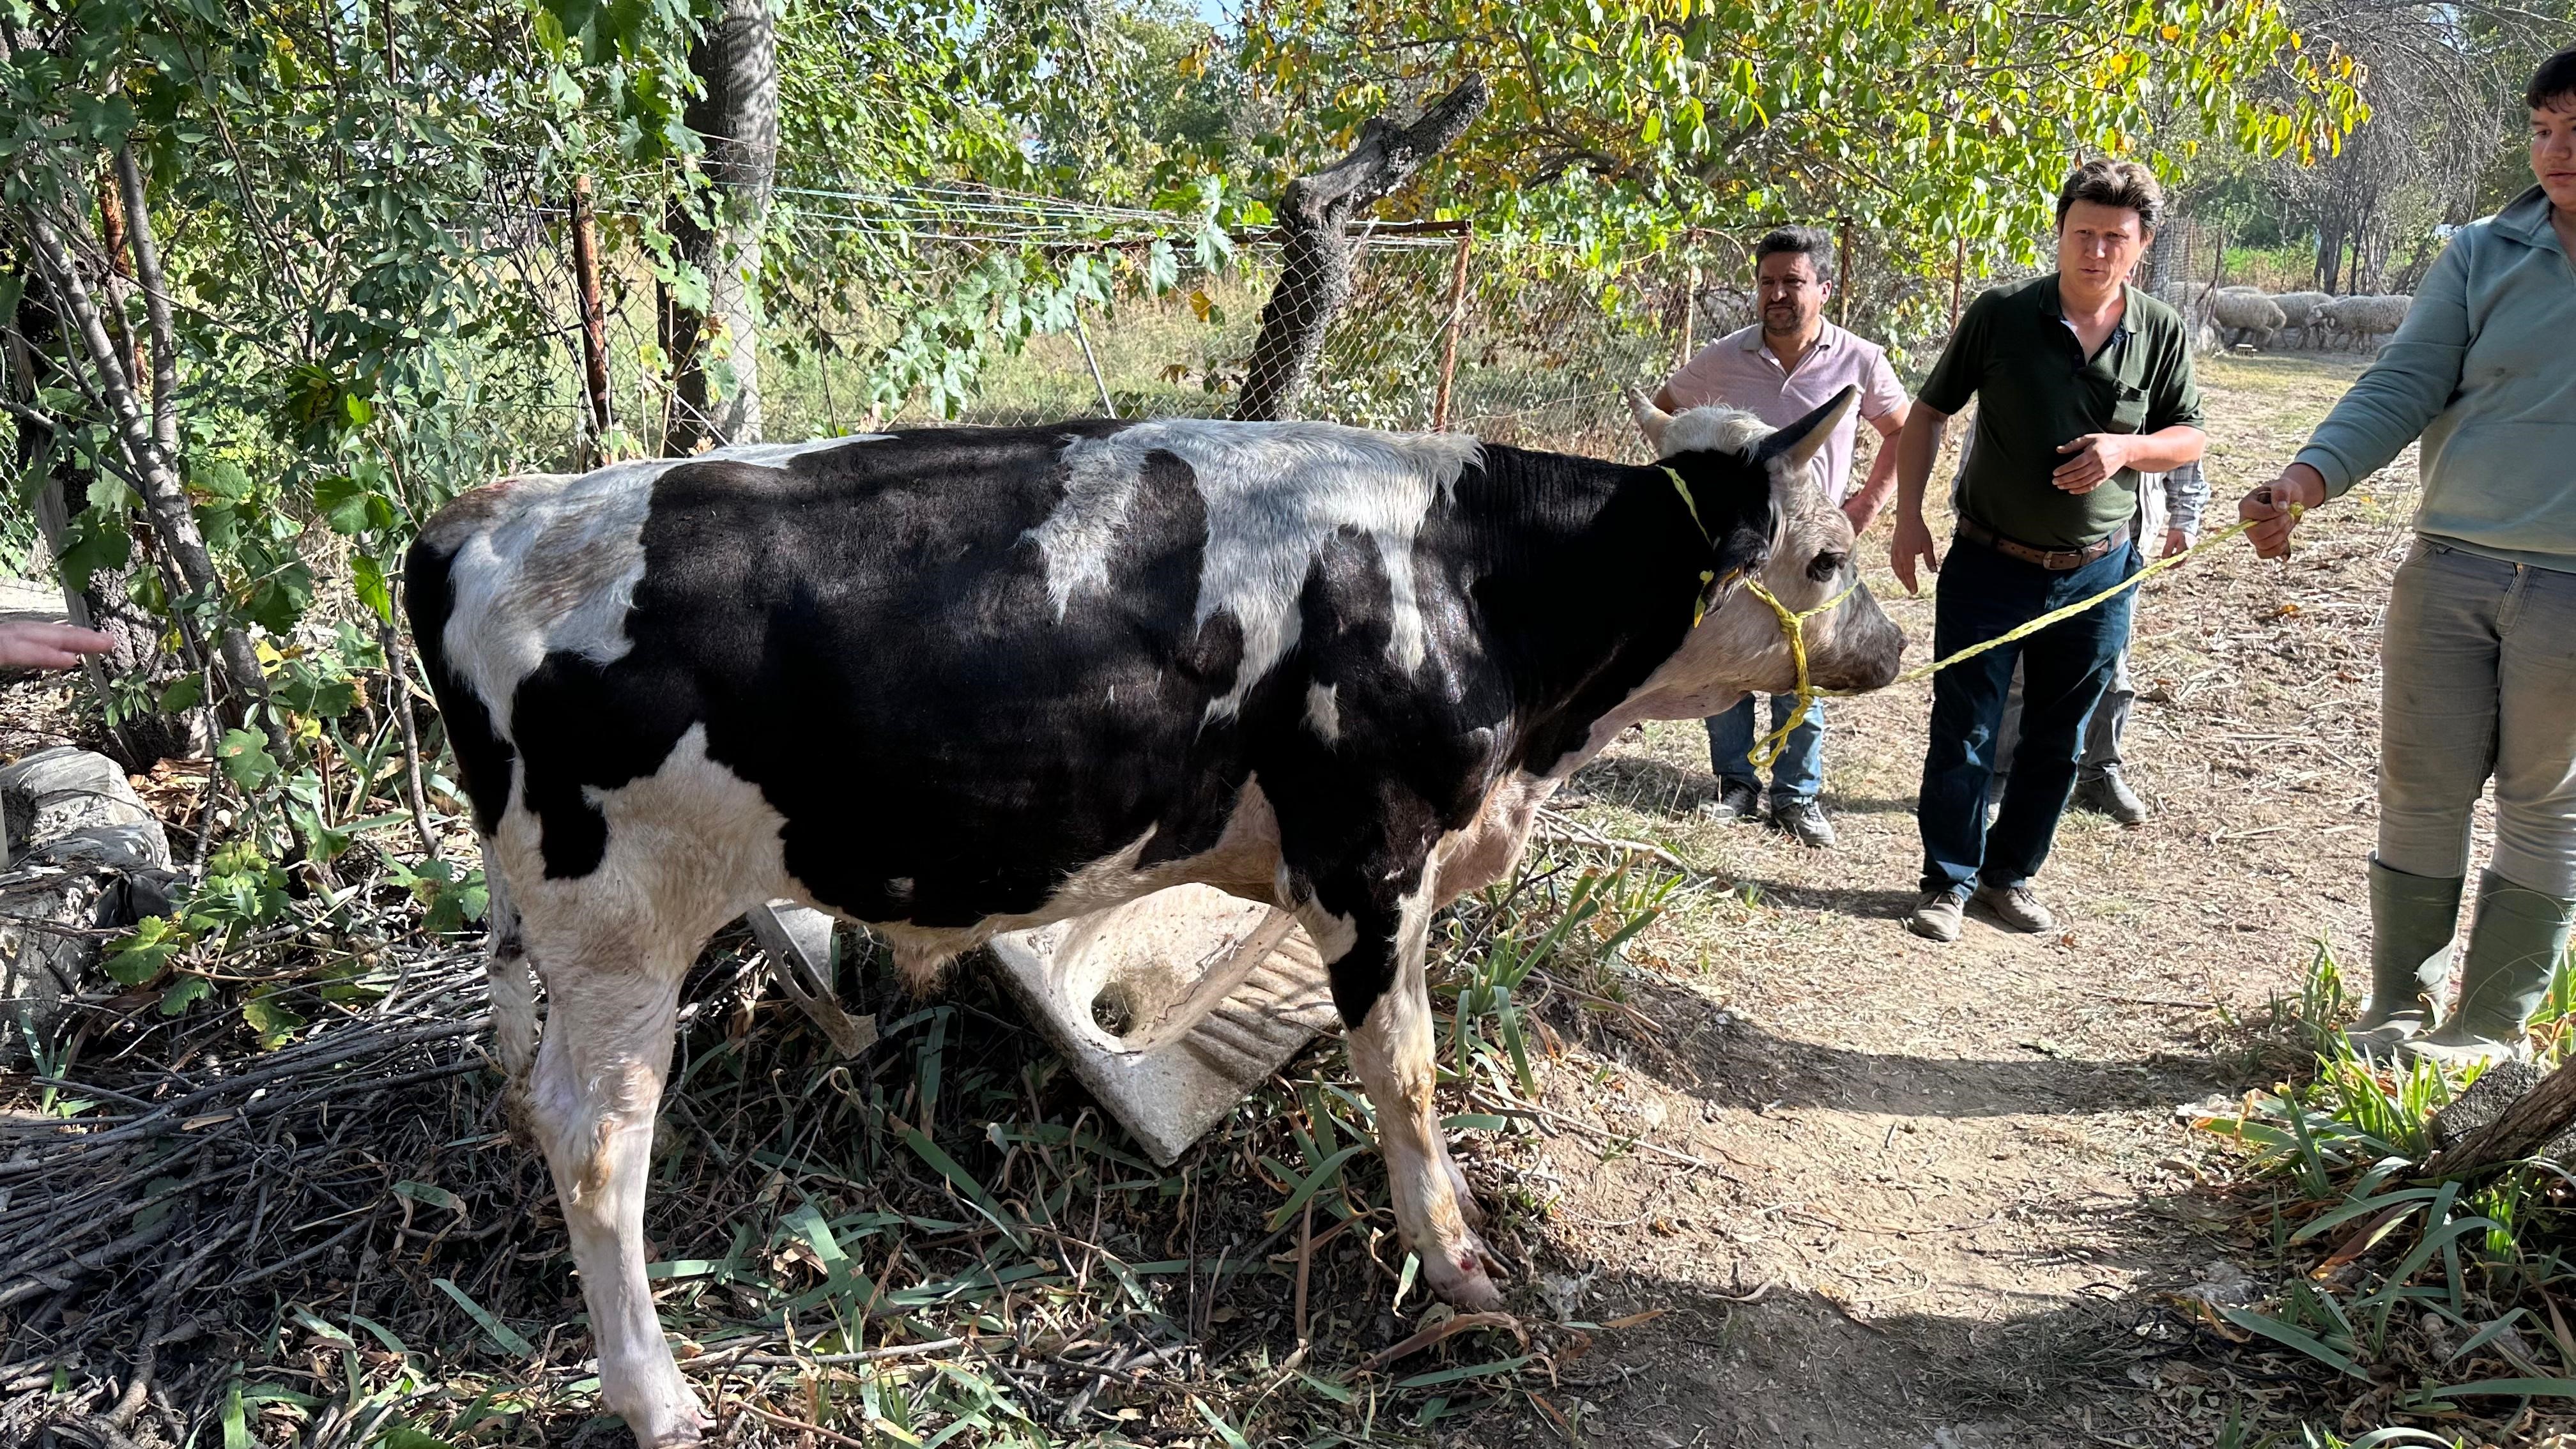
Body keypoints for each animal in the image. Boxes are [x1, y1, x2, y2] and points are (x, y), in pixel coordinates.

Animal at [396, 384, 1896, 1433]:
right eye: (1828, 554)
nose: (1892, 642)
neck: (1473, 585)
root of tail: (491, 512)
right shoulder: (1370, 859)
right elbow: (1405, 1071)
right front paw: (1457, 1260)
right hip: (622, 920)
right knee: (599, 1143)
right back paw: (655, 1396)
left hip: (537, 917)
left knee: (521, 1056)